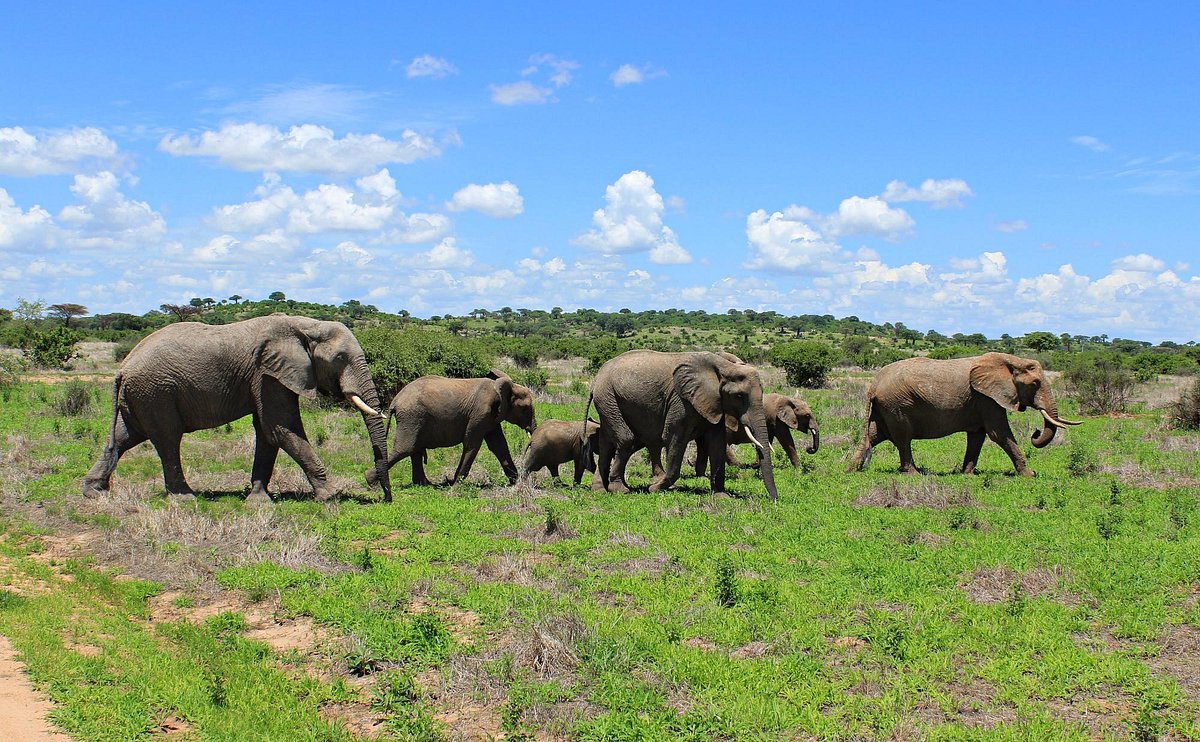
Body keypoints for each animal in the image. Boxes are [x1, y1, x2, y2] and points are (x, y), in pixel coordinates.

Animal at [82, 314, 392, 502]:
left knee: (125, 437)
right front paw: (330, 496)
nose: (385, 497)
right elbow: (281, 428)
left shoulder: (266, 377)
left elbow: (267, 433)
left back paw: (94, 492)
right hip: (156, 392)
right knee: (168, 439)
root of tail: (123, 368)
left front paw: (258, 500)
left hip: (141, 396)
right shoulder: (267, 375)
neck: (306, 326)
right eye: (340, 358)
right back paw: (185, 498)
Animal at [365, 370, 537, 487]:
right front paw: (456, 483)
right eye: (525, 409)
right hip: (411, 416)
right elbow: (472, 444)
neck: (501, 385)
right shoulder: (480, 413)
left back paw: (424, 484)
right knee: (405, 449)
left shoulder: (491, 417)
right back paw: (370, 480)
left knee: (414, 449)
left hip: (414, 418)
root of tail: (395, 401)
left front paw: (515, 482)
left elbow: (499, 445)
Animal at [588, 350, 779, 501]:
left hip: (609, 402)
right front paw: (655, 488)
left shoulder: (713, 402)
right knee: (626, 440)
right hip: (607, 398)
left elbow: (717, 443)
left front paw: (721, 496)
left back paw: (600, 490)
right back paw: (620, 490)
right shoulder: (681, 401)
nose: (774, 499)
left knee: (607, 444)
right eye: (739, 396)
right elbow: (674, 439)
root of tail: (597, 377)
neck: (723, 366)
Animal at [848, 352, 1082, 476]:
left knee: (874, 436)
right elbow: (999, 434)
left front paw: (967, 474)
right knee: (902, 438)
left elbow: (978, 436)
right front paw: (1029, 475)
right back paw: (914, 473)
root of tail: (873, 384)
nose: (1035, 432)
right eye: (1035, 384)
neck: (1011, 360)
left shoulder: (982, 402)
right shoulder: (988, 399)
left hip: (885, 407)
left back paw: (851, 469)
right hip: (897, 405)